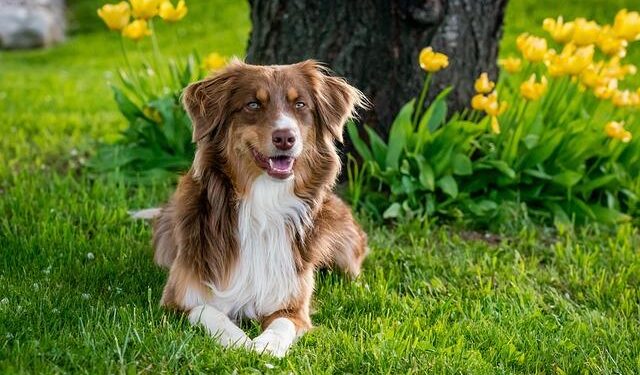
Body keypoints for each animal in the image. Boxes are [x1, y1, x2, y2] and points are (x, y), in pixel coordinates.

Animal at [152, 58, 368, 358]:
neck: (264, 203)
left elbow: (281, 325)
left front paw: (266, 346)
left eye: (300, 104)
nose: (285, 138)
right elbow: (208, 312)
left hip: (344, 248)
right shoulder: (177, 300)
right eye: (253, 104)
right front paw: (239, 341)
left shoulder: (293, 305)